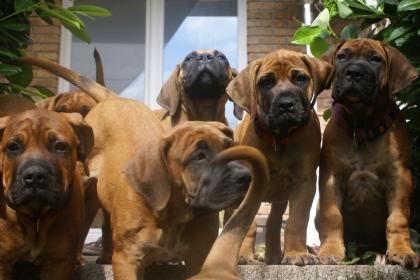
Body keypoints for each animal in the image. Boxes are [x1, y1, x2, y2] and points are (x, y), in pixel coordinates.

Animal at [0, 109, 92, 280]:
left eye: (60, 146)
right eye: (13, 147)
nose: (35, 175)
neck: (36, 218)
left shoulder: (59, 263)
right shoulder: (2, 261)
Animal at [228, 48, 334, 264]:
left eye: (301, 78)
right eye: (265, 82)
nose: (286, 105)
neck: (279, 137)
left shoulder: (304, 182)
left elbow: (296, 221)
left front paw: (296, 254)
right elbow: (247, 223)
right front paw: (242, 255)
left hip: (280, 196)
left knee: (273, 221)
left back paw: (274, 256)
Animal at [316, 38, 418, 268]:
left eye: (375, 59)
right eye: (342, 56)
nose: (353, 72)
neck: (362, 125)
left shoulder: (399, 177)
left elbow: (397, 219)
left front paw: (402, 251)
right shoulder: (331, 177)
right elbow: (332, 216)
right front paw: (331, 250)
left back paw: (381, 256)